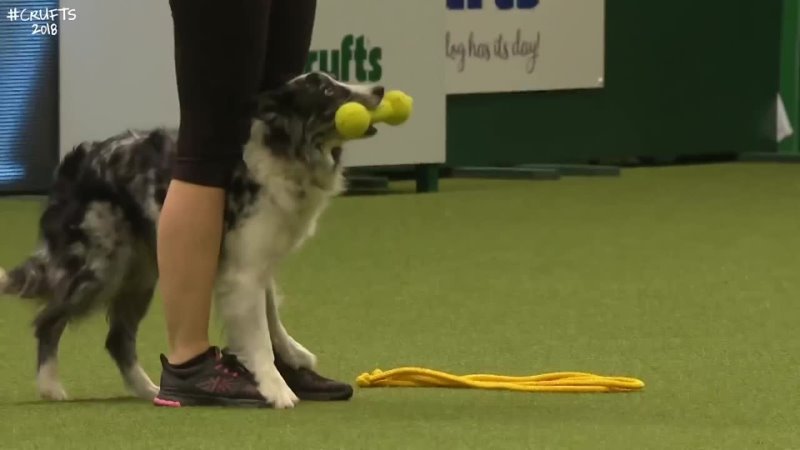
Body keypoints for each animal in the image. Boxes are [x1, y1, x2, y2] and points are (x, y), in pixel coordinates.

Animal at [0, 70, 386, 408]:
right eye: (327, 90)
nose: (380, 89)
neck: (283, 150)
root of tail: (74, 162)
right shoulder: (243, 271)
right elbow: (259, 335)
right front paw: (276, 388)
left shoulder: (258, 259)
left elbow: (271, 315)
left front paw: (292, 354)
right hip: (100, 266)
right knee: (48, 321)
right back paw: (51, 386)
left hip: (142, 273)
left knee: (117, 339)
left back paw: (150, 390)